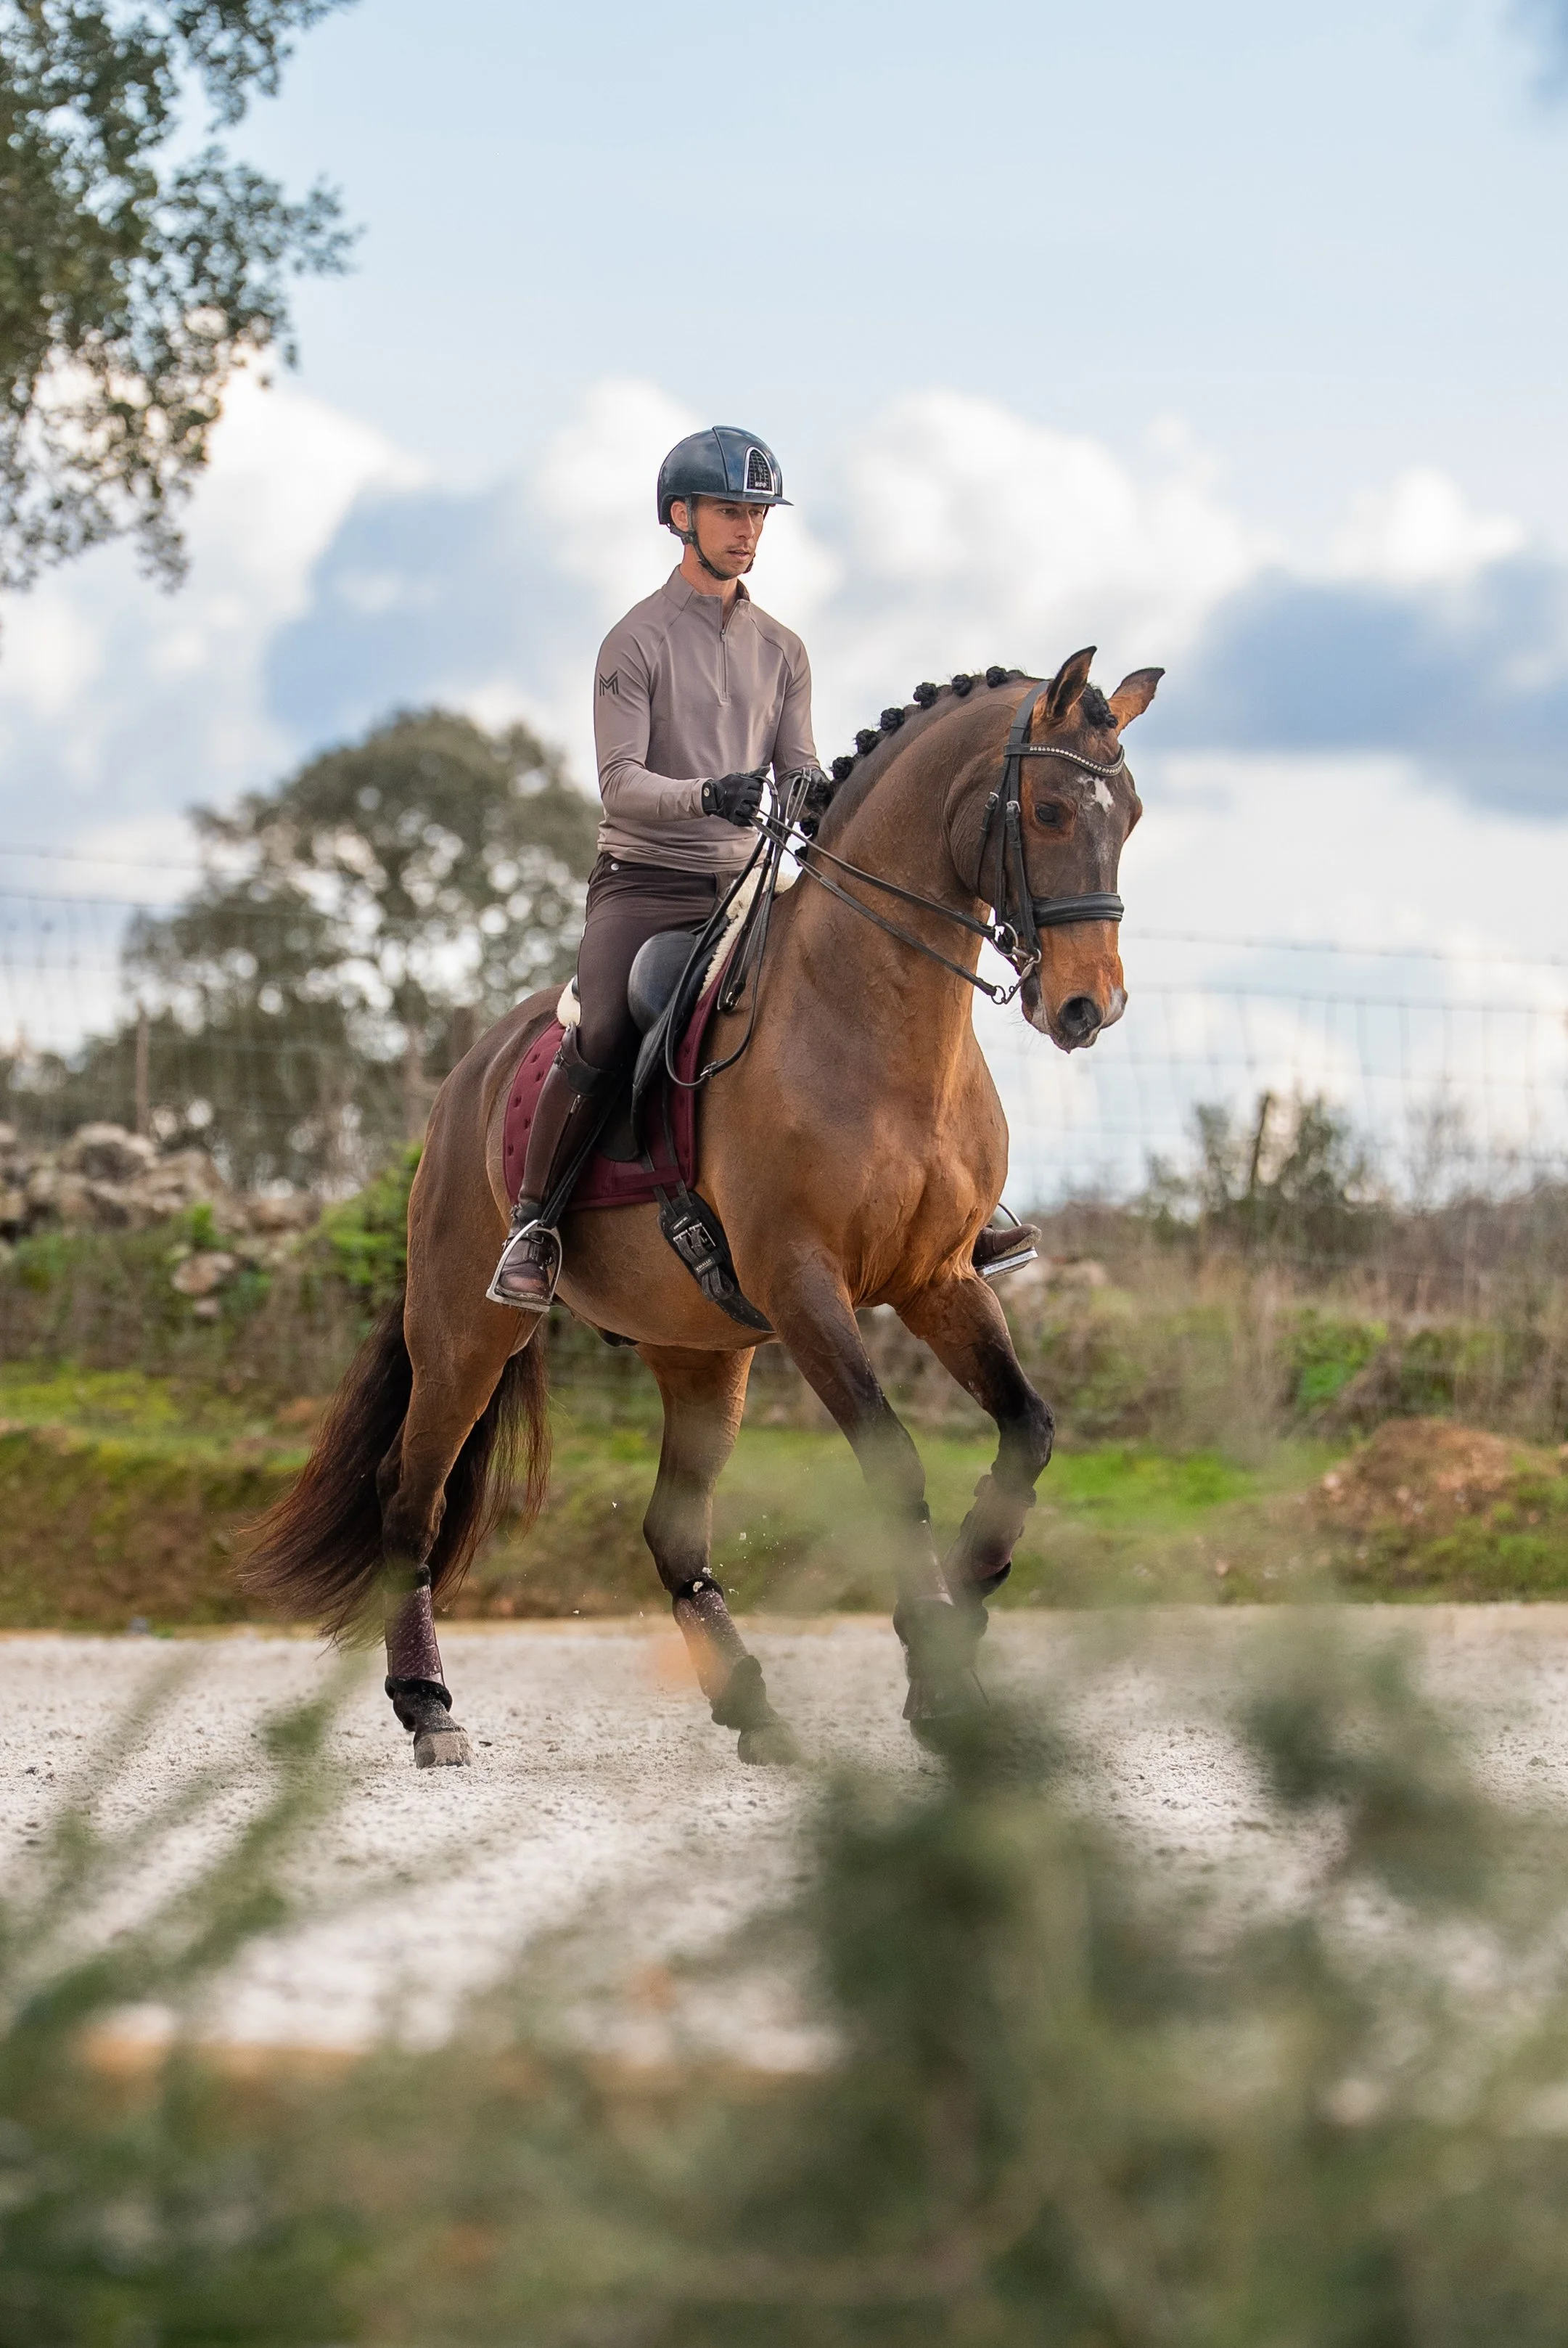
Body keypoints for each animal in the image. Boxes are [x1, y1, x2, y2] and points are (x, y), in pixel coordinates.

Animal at [243, 646, 1161, 1765]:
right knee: (409, 1494)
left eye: (1132, 814)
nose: (1086, 1007)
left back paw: (751, 1704)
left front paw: (972, 1601)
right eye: (1048, 811)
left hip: (701, 1349)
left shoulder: (937, 1280)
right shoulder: (803, 1283)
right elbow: (892, 1464)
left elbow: (1027, 1427)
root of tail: (474, 1068)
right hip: (467, 1329)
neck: (872, 1023)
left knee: (670, 1527)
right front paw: (939, 1675)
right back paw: (427, 1705)